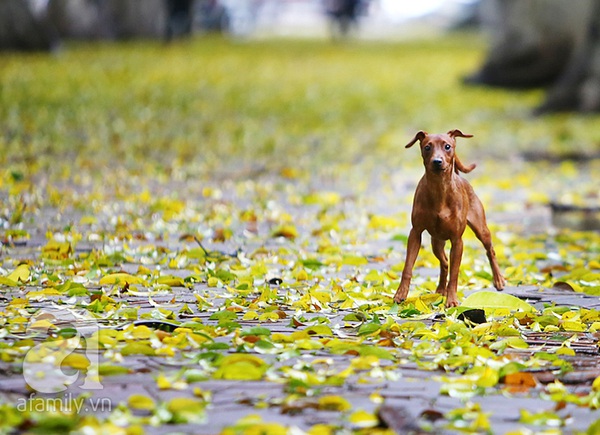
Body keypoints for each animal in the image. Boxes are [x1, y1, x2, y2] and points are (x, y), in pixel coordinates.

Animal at [394, 129, 506, 306]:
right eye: (427, 147)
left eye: (447, 146)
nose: (437, 161)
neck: (440, 190)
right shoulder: (415, 233)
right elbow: (408, 267)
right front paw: (400, 293)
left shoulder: (457, 240)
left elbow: (455, 274)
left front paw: (452, 300)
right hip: (436, 242)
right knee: (445, 262)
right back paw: (441, 289)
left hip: (481, 229)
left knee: (490, 251)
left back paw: (498, 280)